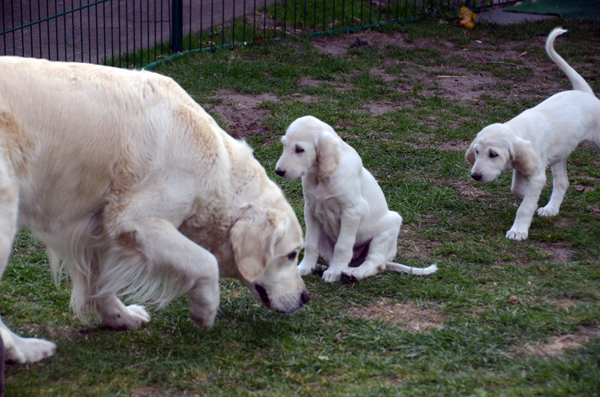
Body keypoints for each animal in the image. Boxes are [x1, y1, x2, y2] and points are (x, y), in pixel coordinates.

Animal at [0, 55, 310, 362]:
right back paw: (23, 349)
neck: (220, 171)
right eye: (291, 255)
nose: (306, 297)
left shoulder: (96, 226)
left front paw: (119, 316)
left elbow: (98, 281)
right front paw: (204, 310)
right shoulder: (134, 221)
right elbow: (205, 261)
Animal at [274, 114, 438, 282]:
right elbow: (310, 242)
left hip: (386, 232)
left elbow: (342, 246)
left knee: (376, 263)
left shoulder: (352, 212)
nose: (278, 171)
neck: (321, 178)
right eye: (284, 145)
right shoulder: (311, 210)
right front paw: (305, 267)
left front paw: (335, 272)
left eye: (300, 149)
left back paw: (353, 272)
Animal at [466, 27, 600, 241]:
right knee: (562, 182)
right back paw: (551, 209)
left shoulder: (536, 175)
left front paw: (518, 230)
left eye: (493, 154)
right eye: (477, 152)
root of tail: (586, 93)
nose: (475, 176)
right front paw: (533, 202)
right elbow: (518, 190)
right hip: (560, 153)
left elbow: (525, 206)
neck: (518, 129)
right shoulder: (522, 167)